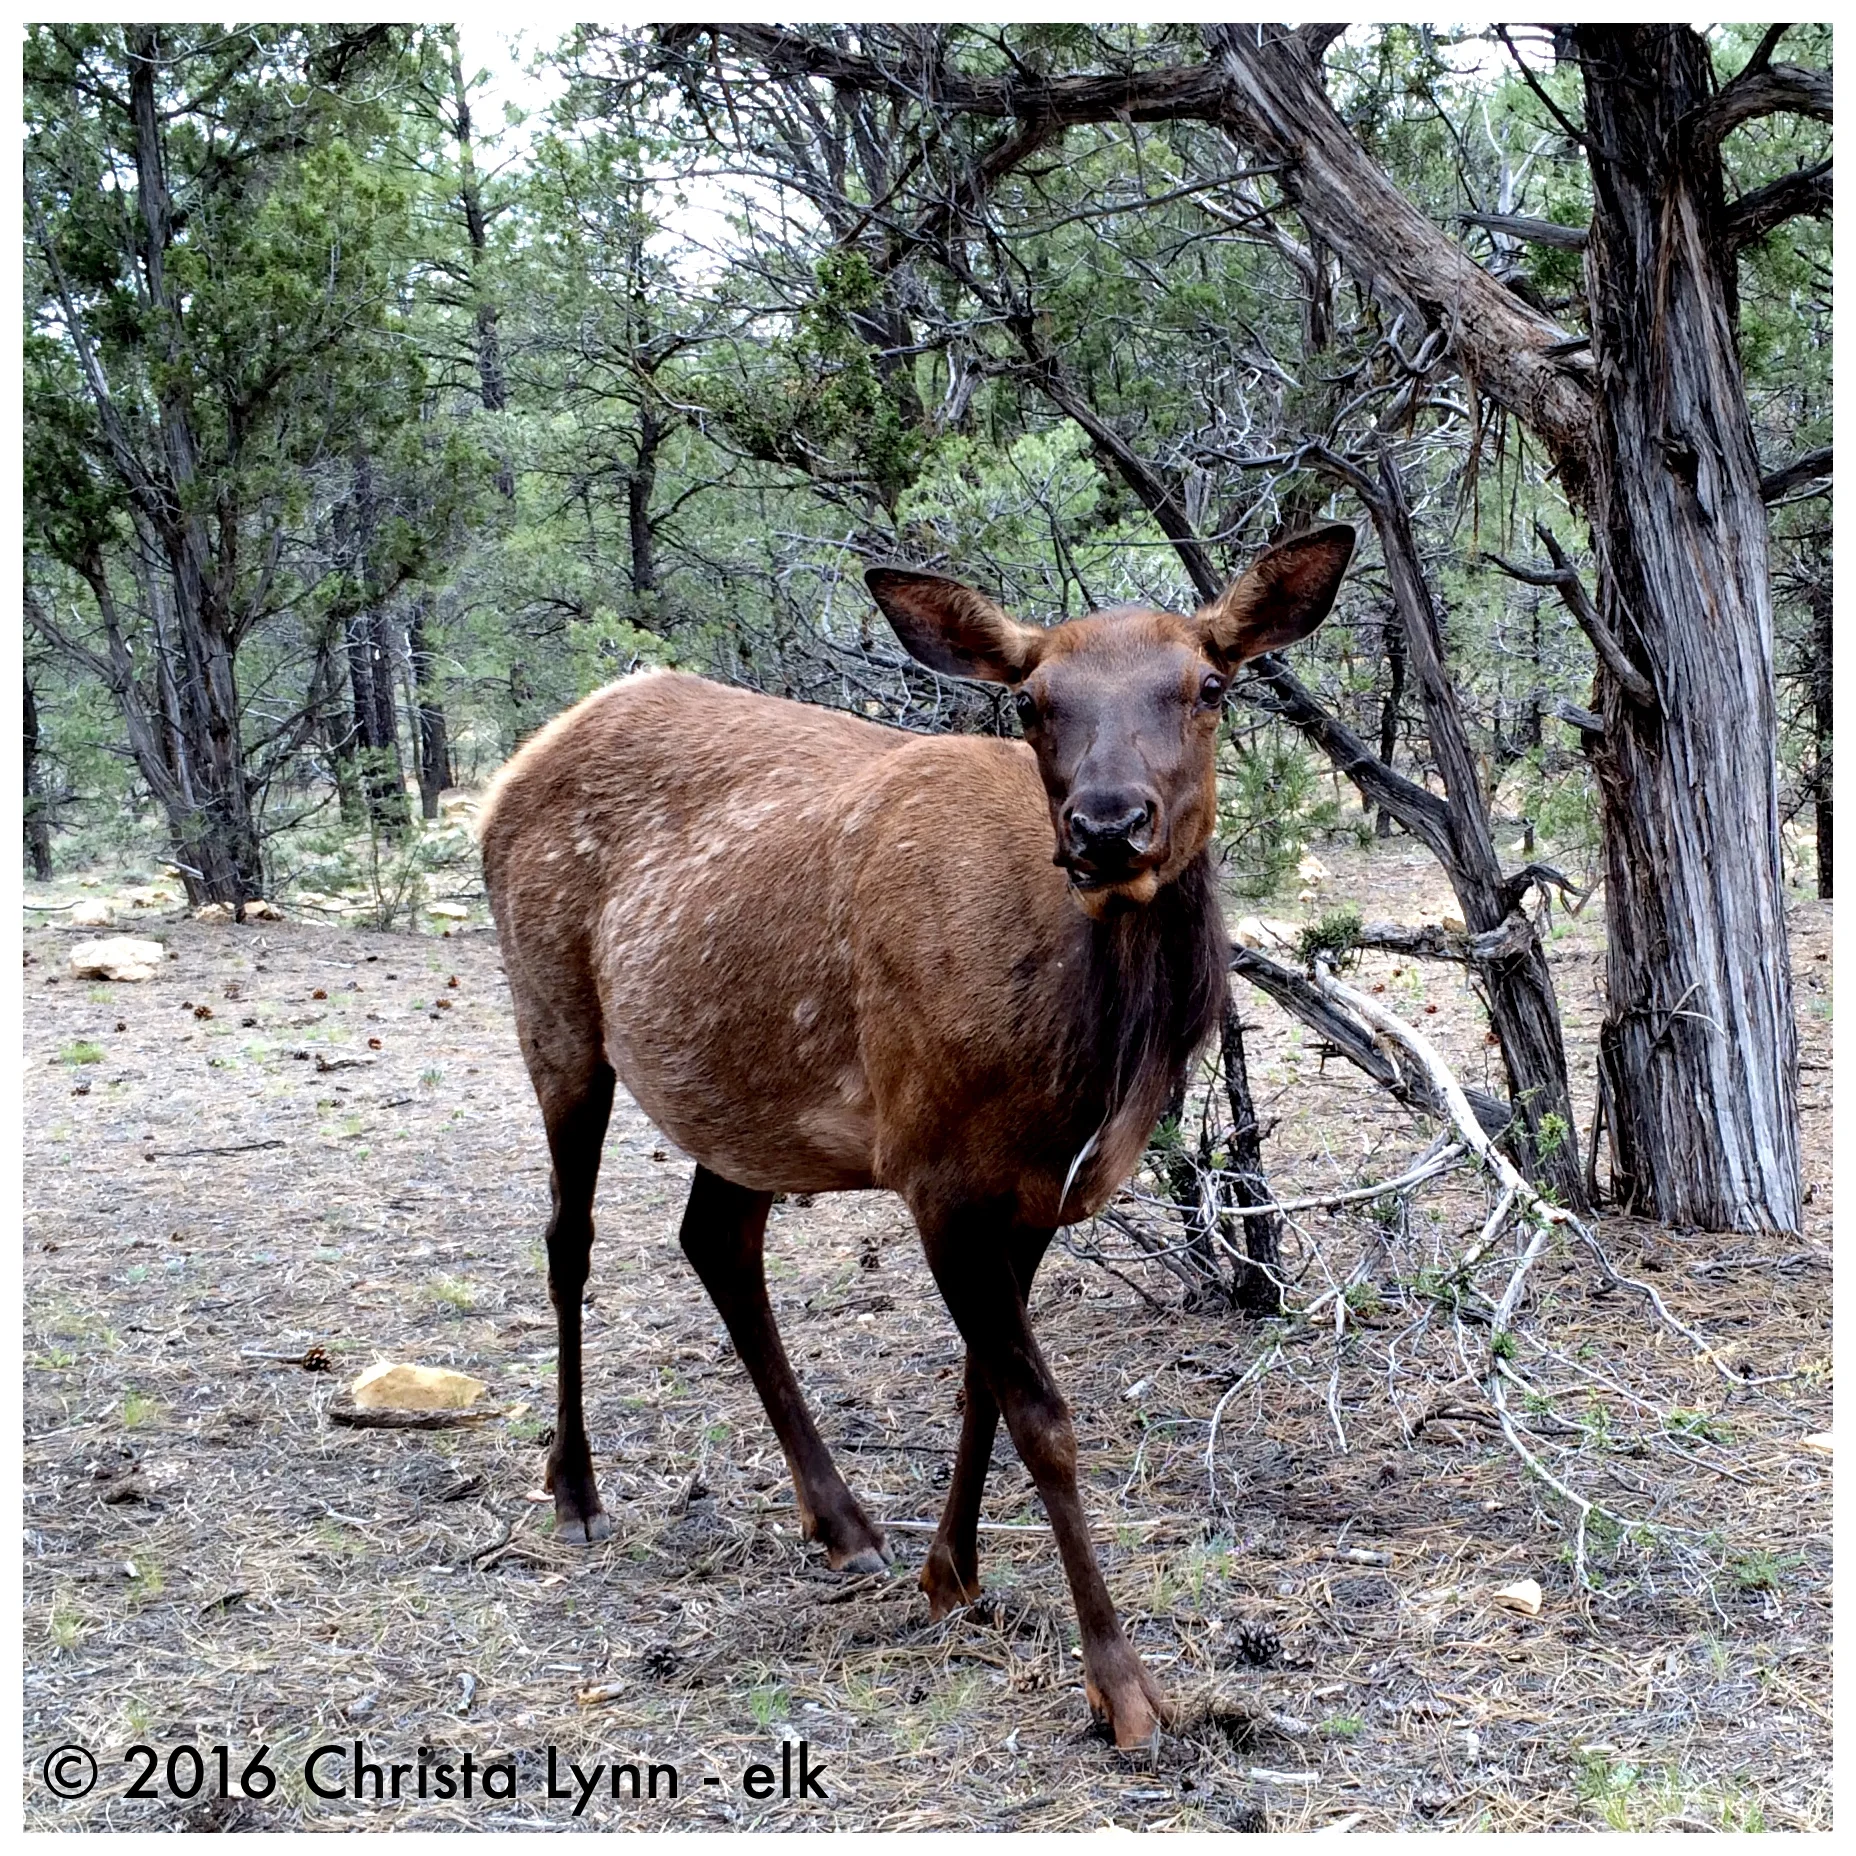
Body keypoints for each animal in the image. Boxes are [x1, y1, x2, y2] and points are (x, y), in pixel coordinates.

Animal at [477, 524, 1354, 1748]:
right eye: (1033, 700)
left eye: (1210, 685)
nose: (1105, 825)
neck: (1084, 1054)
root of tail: (516, 763)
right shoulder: (934, 1167)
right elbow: (1040, 1413)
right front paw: (1122, 1687)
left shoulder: (1037, 1188)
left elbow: (980, 1383)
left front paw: (952, 1572)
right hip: (552, 1009)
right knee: (569, 1237)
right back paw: (576, 1490)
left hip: (746, 1098)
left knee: (714, 1238)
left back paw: (843, 1522)